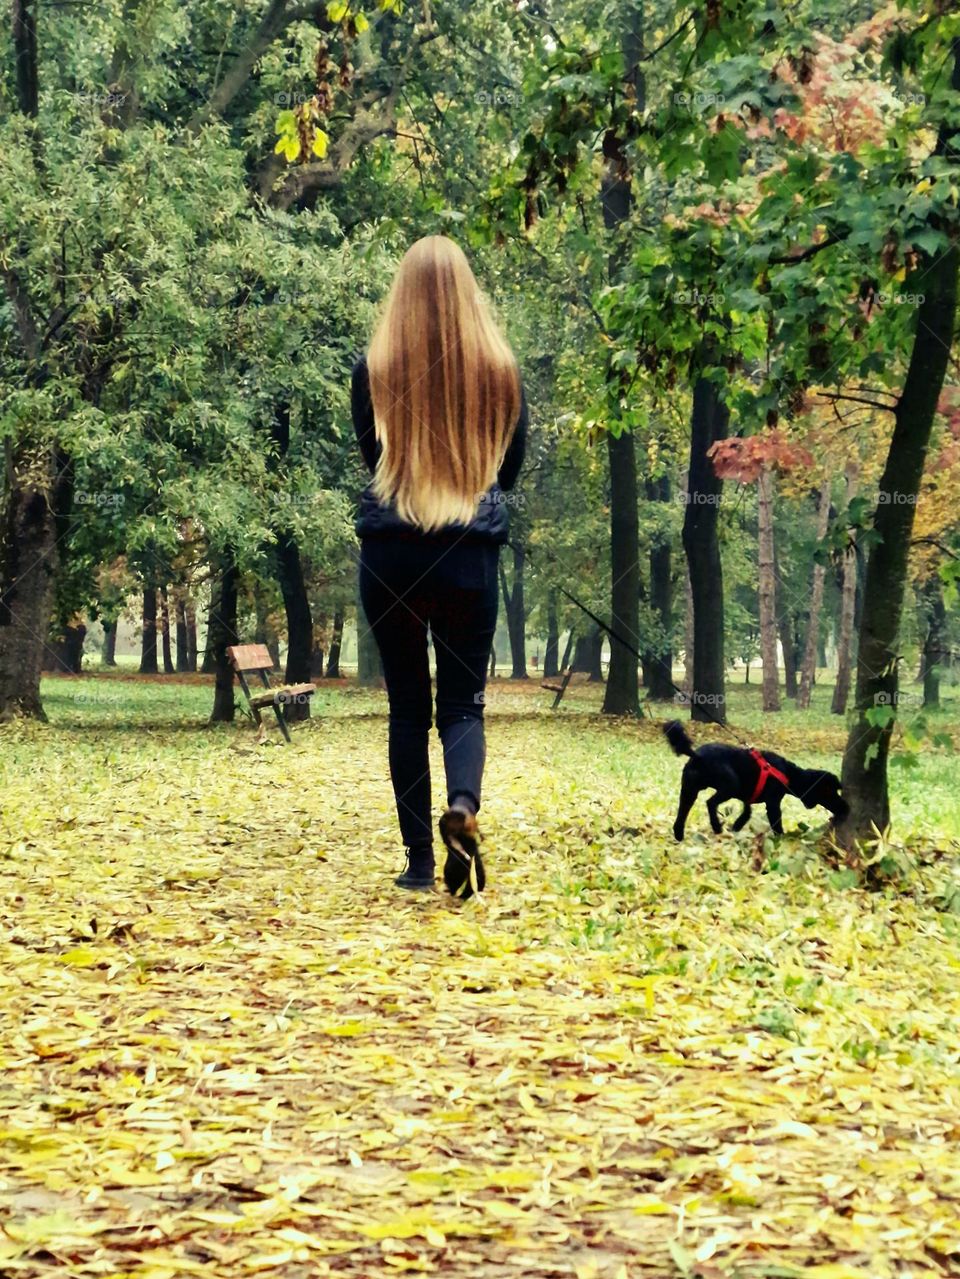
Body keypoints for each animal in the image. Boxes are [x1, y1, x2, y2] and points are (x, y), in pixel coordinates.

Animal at [659, 721, 848, 839]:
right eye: (828, 790)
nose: (845, 807)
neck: (788, 774)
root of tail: (697, 756)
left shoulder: (746, 797)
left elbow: (746, 812)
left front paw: (736, 827)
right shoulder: (772, 803)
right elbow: (776, 823)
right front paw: (783, 840)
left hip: (689, 790)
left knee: (682, 814)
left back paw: (679, 835)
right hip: (730, 785)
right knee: (710, 803)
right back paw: (716, 826)